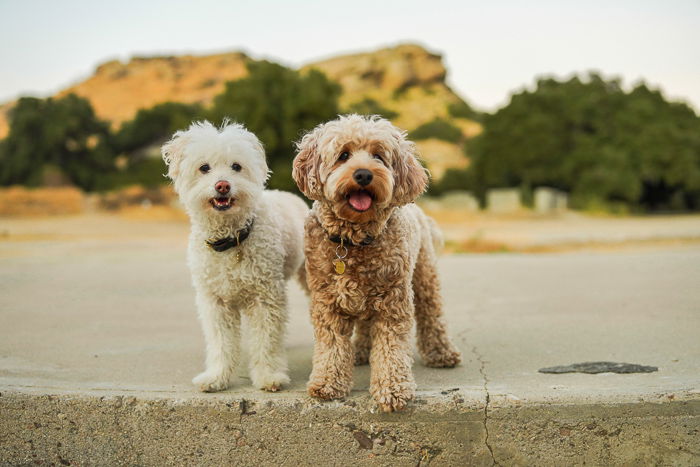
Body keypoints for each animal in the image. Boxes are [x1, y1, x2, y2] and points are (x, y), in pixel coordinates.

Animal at [164, 120, 308, 392]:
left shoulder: (265, 298)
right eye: (204, 168)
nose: (223, 185)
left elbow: (265, 340)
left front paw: (268, 376)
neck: (230, 240)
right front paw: (216, 377)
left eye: (236, 166)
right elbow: (221, 343)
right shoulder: (215, 303)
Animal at [292, 114, 462, 414]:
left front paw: (392, 389)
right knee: (364, 325)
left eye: (379, 157)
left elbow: (390, 348)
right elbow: (331, 344)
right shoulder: (327, 301)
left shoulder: (393, 301)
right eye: (343, 155)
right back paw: (360, 351)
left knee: (432, 314)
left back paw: (441, 352)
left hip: (423, 276)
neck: (353, 241)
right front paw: (328, 383)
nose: (363, 174)